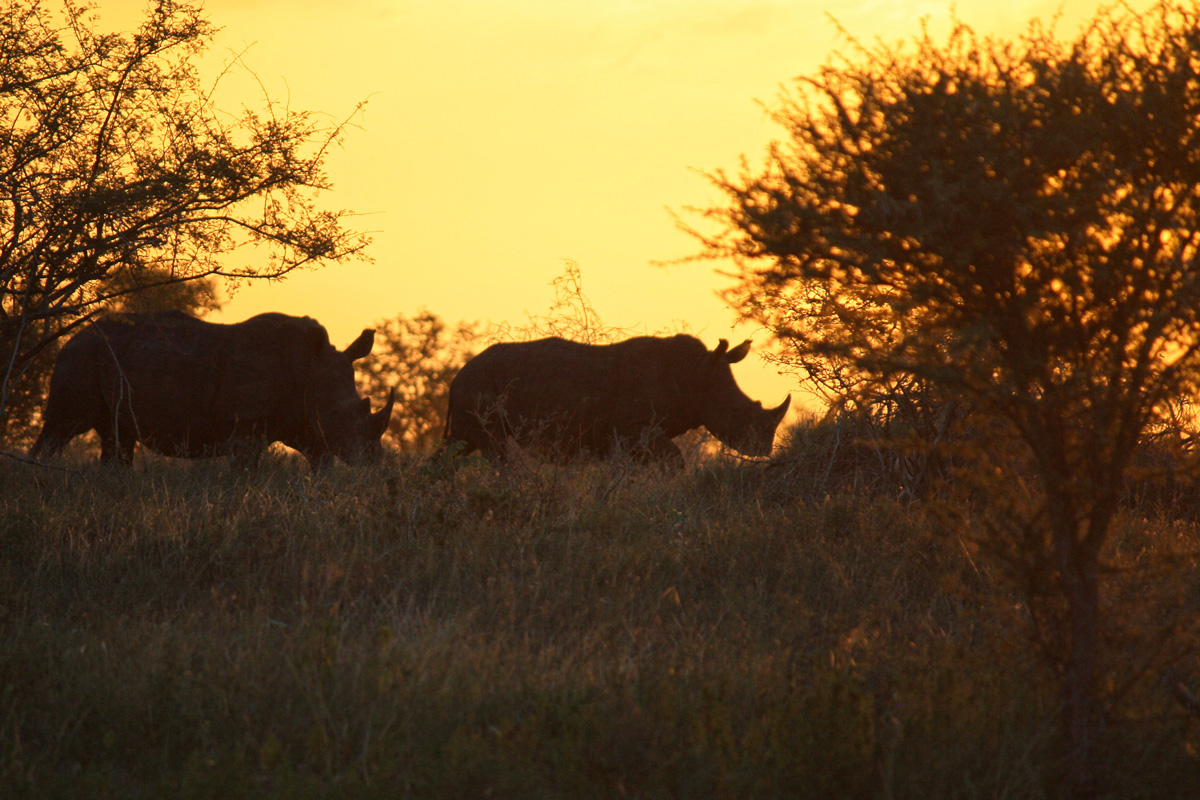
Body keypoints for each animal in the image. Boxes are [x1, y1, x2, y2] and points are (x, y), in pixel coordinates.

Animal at [29, 309, 393, 465]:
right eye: (337, 414)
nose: (373, 459)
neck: (309, 367)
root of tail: (74, 335)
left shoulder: (311, 429)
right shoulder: (247, 425)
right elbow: (243, 472)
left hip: (105, 357)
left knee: (115, 435)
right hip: (80, 355)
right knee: (61, 426)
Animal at [446, 335, 792, 465]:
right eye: (733, 411)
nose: (764, 450)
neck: (696, 373)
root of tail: (457, 375)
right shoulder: (633, 428)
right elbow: (675, 459)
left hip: (471, 393)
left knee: (457, 446)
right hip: (479, 390)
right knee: (494, 449)